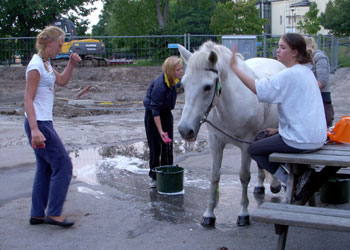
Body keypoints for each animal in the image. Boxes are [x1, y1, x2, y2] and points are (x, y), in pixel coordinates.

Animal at [176, 40, 286, 227]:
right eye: (183, 85)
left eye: (207, 87)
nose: (185, 130)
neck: (230, 105)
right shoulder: (215, 142)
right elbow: (214, 176)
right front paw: (209, 215)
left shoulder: (245, 145)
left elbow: (244, 176)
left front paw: (243, 214)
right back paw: (260, 186)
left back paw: (276, 185)